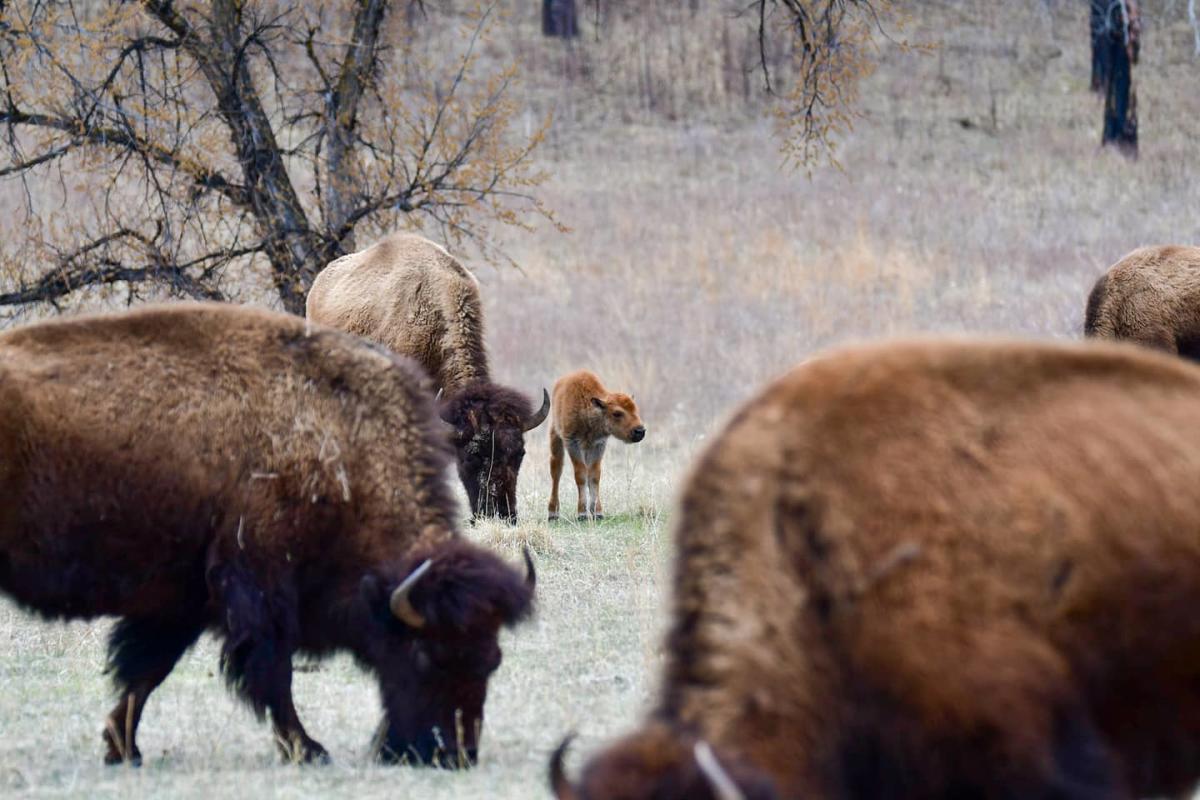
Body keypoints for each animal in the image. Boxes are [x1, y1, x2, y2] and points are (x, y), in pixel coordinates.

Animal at [0, 302, 535, 768]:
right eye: (425, 655)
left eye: (492, 660)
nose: (453, 755)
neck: (337, 449)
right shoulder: (256, 590)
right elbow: (269, 675)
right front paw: (309, 749)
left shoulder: (182, 599)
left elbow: (147, 670)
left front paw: (123, 748)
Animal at [547, 370, 645, 522]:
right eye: (617, 413)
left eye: (635, 409)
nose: (640, 431)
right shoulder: (572, 443)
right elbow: (580, 475)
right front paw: (582, 513)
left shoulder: (598, 444)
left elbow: (594, 475)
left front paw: (597, 512)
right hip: (556, 437)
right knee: (556, 472)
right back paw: (553, 513)